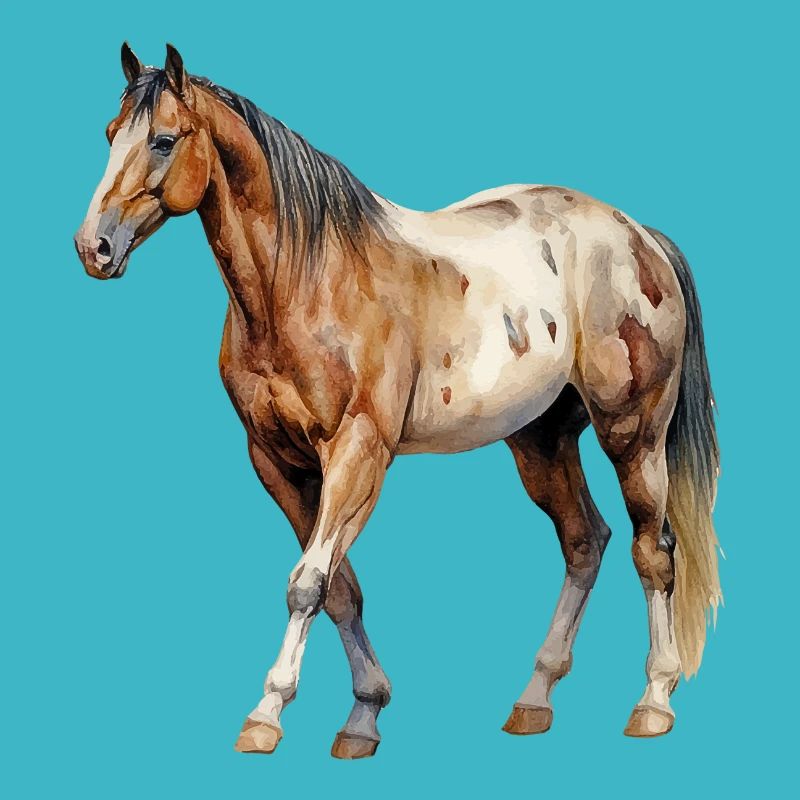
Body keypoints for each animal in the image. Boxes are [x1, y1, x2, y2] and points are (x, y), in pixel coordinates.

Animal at [74, 43, 721, 758]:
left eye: (163, 140)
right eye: (110, 134)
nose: (94, 247)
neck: (308, 278)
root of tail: (638, 236)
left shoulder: (358, 452)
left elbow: (307, 584)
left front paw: (266, 716)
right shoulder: (278, 463)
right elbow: (339, 589)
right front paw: (363, 715)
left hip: (633, 433)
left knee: (652, 551)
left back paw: (653, 702)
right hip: (541, 440)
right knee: (585, 541)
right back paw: (534, 699)